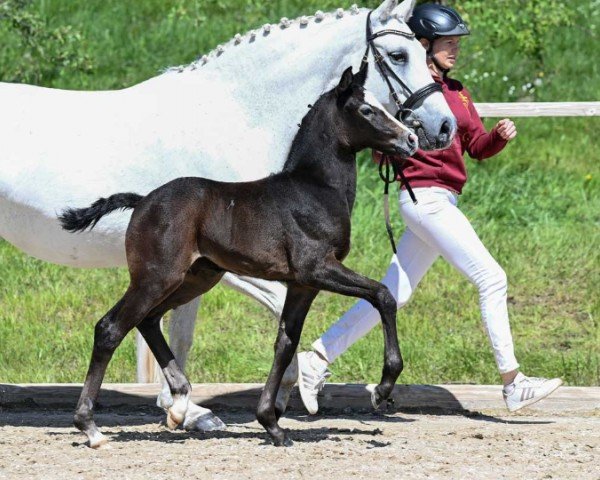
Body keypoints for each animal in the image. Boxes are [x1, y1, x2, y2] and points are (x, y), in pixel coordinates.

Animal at [59, 63, 418, 446]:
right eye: (366, 110)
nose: (411, 138)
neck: (314, 189)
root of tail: (142, 202)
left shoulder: (302, 285)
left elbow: (285, 342)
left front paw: (272, 423)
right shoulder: (318, 269)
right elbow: (382, 295)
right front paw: (382, 389)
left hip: (197, 277)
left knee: (148, 320)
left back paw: (181, 404)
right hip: (157, 276)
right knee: (110, 327)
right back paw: (91, 426)